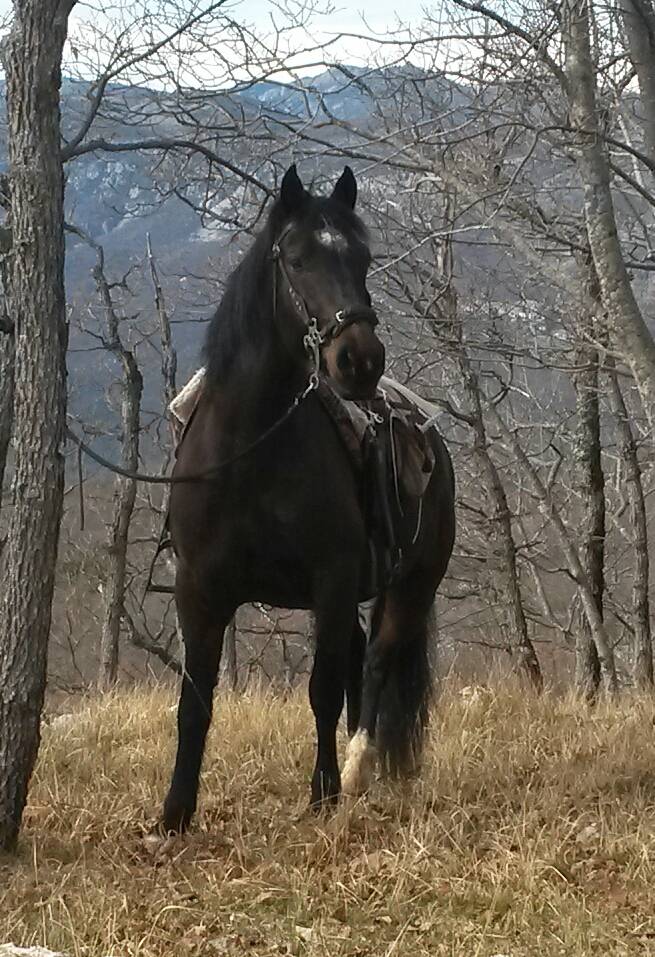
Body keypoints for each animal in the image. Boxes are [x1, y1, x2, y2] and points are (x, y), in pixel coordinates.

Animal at [162, 164, 455, 832]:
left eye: (363, 258)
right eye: (296, 259)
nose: (360, 359)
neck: (249, 450)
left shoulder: (333, 578)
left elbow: (322, 687)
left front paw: (322, 795)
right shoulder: (198, 588)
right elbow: (195, 701)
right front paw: (174, 815)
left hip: (411, 585)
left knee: (374, 664)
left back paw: (358, 768)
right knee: (357, 656)